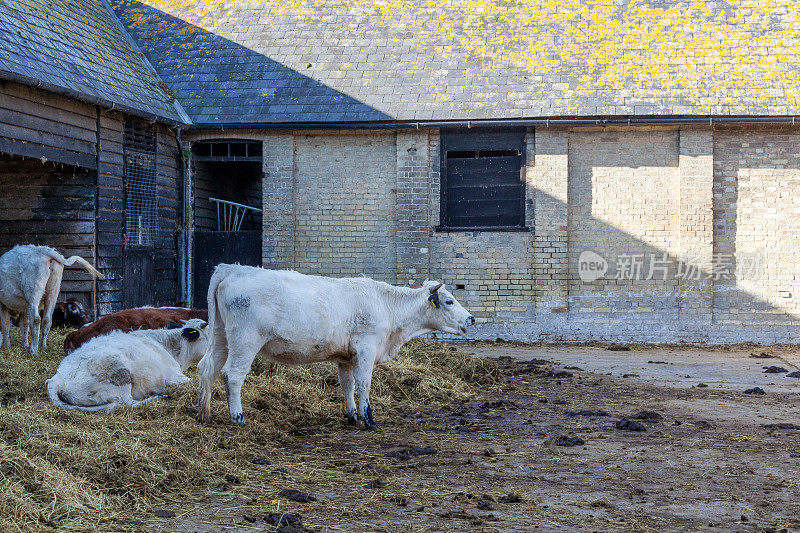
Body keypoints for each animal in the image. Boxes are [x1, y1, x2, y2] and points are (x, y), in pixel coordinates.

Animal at [198, 264, 476, 428]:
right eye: (449, 301)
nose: (471, 319)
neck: (386, 305)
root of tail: (233, 269)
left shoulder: (346, 357)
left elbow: (347, 384)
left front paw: (352, 415)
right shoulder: (366, 349)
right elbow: (364, 384)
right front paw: (369, 419)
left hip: (221, 338)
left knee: (206, 368)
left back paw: (204, 414)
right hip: (245, 340)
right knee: (232, 375)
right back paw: (238, 418)